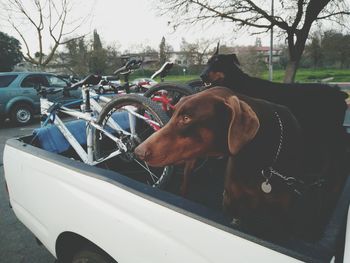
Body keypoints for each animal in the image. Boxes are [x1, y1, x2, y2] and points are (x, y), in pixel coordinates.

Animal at [135, 87, 304, 229]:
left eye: (186, 118)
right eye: (173, 114)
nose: (138, 151)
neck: (258, 163)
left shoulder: (283, 211)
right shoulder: (230, 200)